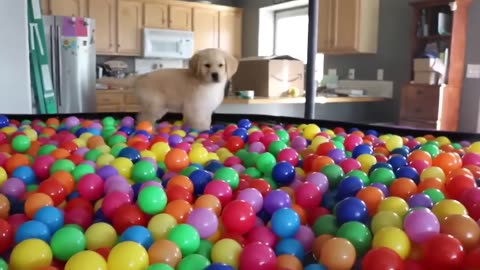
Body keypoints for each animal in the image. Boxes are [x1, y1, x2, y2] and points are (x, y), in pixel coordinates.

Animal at [98, 49, 239, 132]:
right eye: (207, 65)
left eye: (221, 65)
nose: (215, 75)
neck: (207, 84)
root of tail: (140, 77)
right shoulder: (195, 108)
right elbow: (198, 123)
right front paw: (201, 132)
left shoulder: (206, 109)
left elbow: (206, 120)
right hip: (155, 105)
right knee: (144, 117)